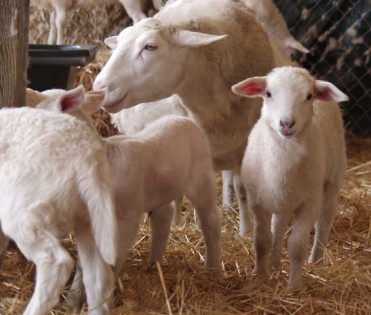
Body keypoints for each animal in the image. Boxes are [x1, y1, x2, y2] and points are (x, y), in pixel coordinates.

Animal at [32, 0, 163, 45]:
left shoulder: (61, 5)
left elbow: (59, 24)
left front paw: (60, 44)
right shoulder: (53, 7)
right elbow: (52, 24)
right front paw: (50, 43)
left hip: (131, 2)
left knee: (139, 18)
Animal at [37, 86, 222, 308]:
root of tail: (183, 119)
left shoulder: (126, 217)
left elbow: (113, 257)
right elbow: (84, 264)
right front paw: (72, 302)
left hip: (202, 176)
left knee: (210, 220)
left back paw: (213, 267)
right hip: (160, 188)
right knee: (163, 217)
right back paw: (154, 263)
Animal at [234, 66, 350, 294]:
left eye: (309, 96)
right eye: (268, 93)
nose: (286, 124)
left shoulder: (310, 203)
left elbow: (296, 246)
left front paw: (294, 287)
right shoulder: (257, 202)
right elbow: (262, 240)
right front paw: (259, 275)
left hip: (332, 179)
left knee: (325, 218)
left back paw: (317, 258)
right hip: (283, 198)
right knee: (278, 223)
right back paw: (274, 261)